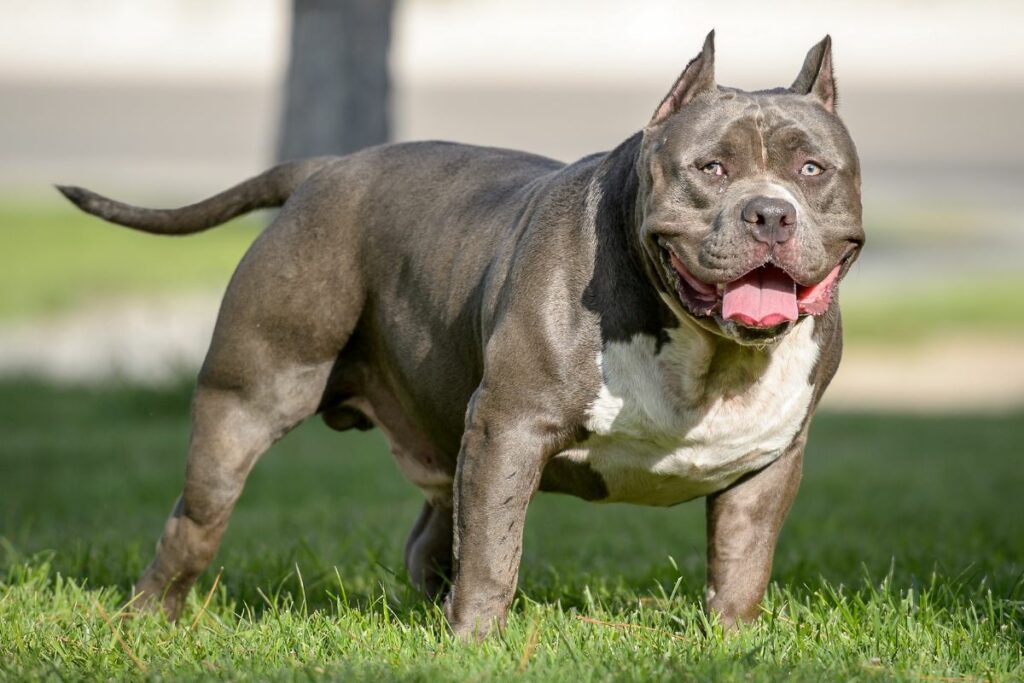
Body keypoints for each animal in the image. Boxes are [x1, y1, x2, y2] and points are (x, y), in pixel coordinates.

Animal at [59, 31, 864, 643]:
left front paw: (732, 641)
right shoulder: (509, 427)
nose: (770, 213)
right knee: (195, 519)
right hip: (245, 400)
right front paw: (477, 642)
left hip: (440, 426)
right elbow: (494, 549)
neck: (708, 353)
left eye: (812, 169)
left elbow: (741, 564)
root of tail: (328, 168)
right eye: (711, 168)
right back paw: (149, 617)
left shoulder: (768, 462)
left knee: (430, 537)